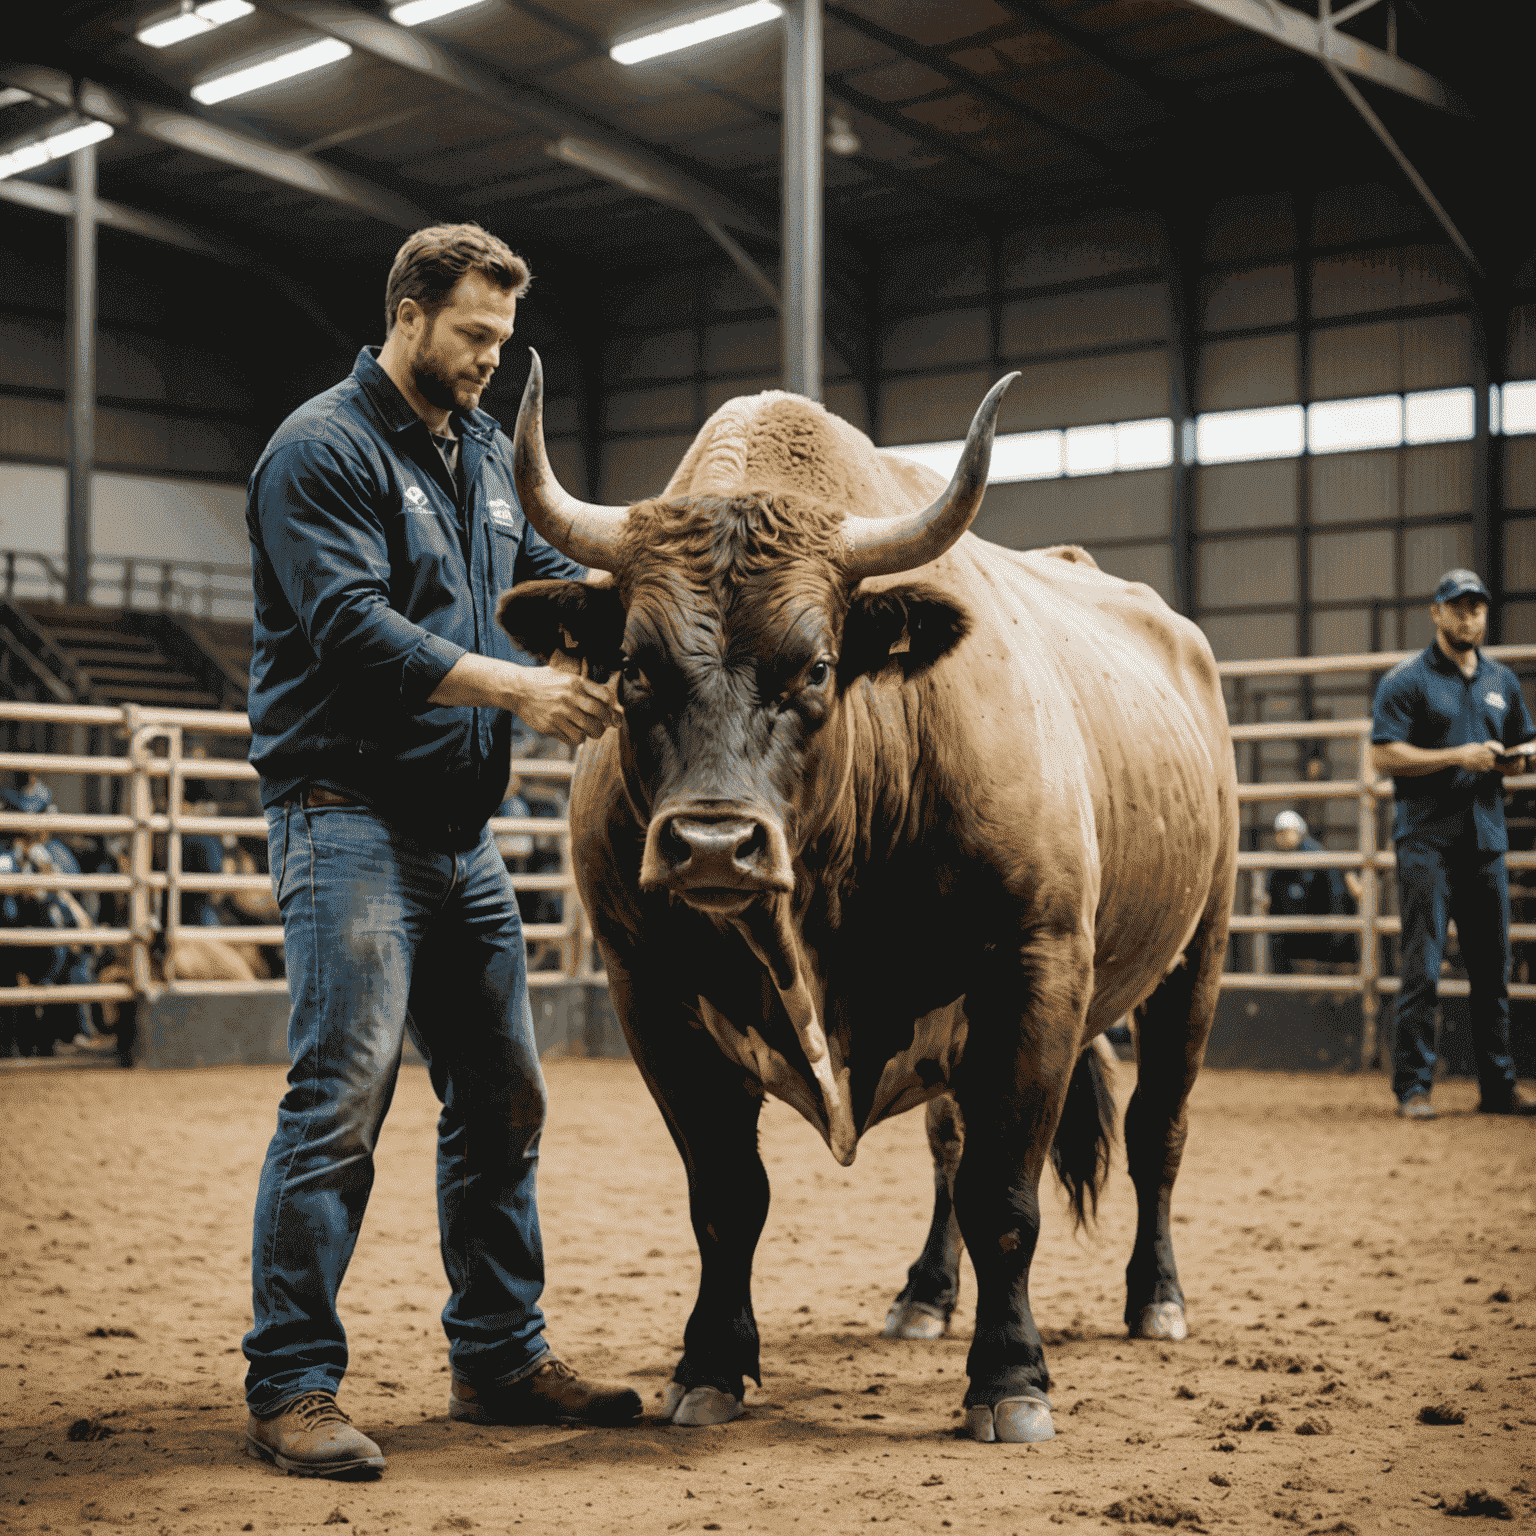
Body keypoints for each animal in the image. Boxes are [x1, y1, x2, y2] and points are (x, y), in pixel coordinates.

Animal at [497, 353, 1241, 1443]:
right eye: (632, 667)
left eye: (813, 667)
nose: (711, 843)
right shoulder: (652, 996)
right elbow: (727, 1198)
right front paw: (710, 1364)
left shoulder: (1036, 971)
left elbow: (1005, 1198)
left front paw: (1010, 1379)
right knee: (947, 1146)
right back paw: (926, 1294)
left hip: (1197, 955)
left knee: (1158, 1133)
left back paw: (1157, 1298)